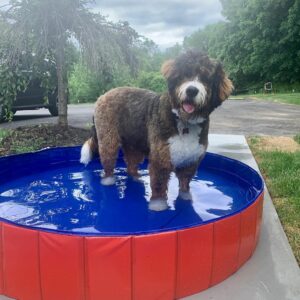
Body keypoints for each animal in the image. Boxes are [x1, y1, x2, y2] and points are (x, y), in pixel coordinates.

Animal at [81, 51, 233, 211]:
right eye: (185, 74)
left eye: (206, 79)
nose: (191, 90)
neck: (184, 121)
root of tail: (104, 95)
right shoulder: (161, 157)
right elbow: (159, 183)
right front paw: (158, 205)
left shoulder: (191, 160)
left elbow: (185, 183)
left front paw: (185, 197)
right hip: (108, 138)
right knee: (108, 160)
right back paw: (108, 180)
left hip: (134, 142)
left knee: (131, 164)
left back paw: (136, 178)